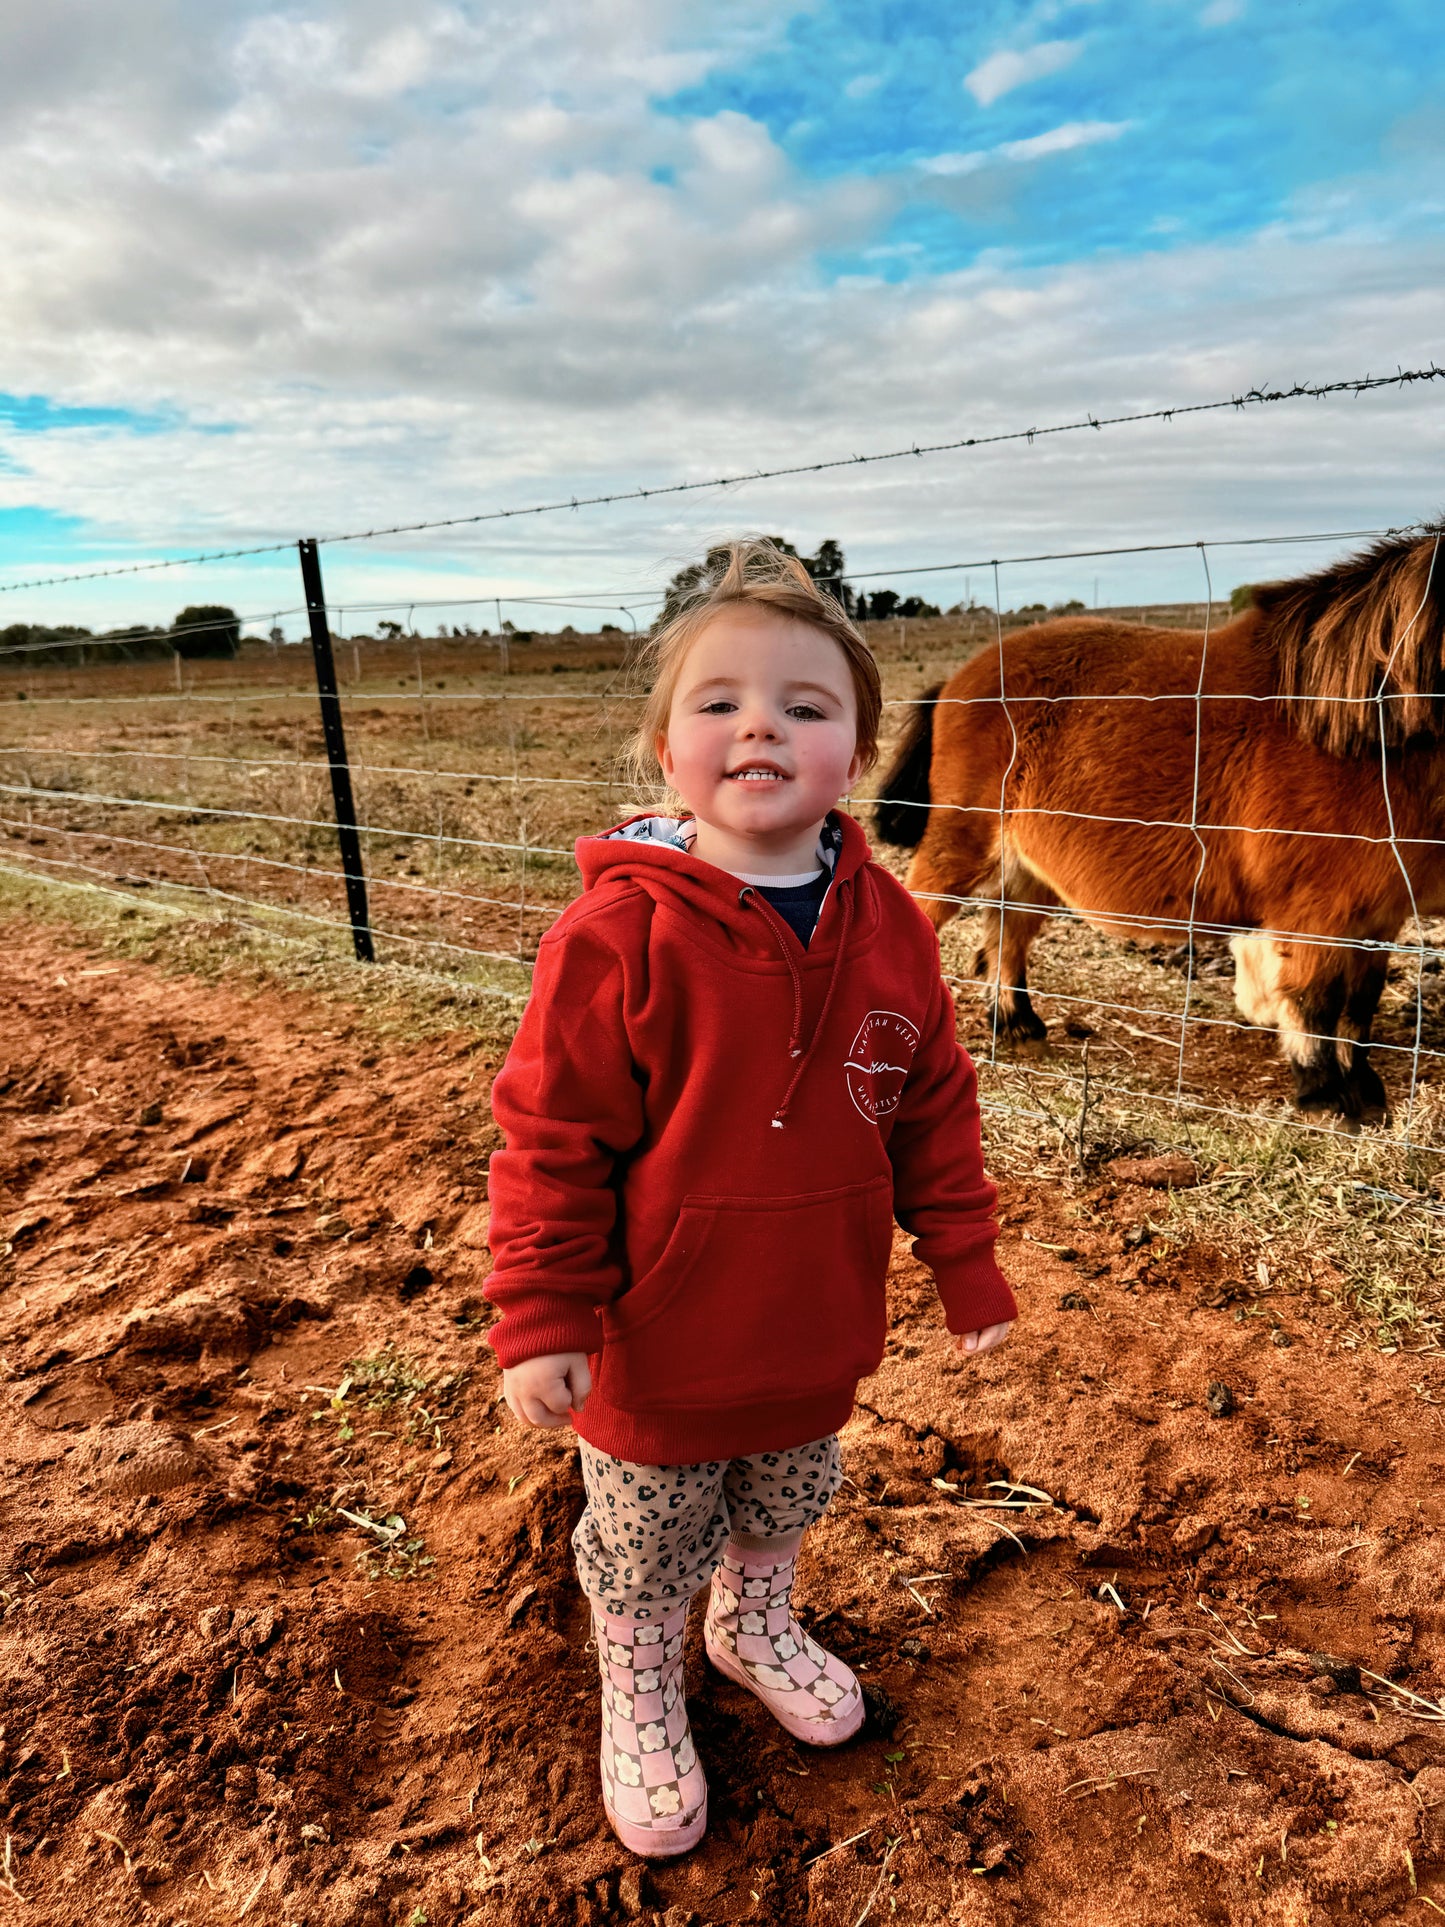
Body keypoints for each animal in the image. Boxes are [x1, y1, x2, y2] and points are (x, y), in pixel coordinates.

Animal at [870, 527, 1445, 1125]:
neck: (1358, 727)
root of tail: (960, 679)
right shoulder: (1318, 915)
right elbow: (1318, 1002)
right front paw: (1325, 1095)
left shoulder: (1377, 916)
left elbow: (1359, 1007)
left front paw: (1364, 1092)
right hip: (960, 848)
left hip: (1028, 869)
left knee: (1008, 934)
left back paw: (1019, 1026)